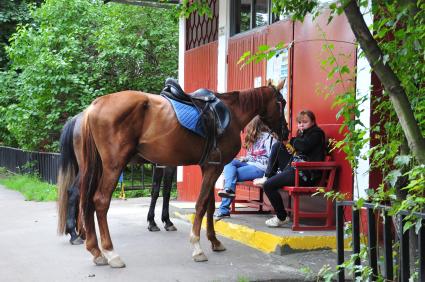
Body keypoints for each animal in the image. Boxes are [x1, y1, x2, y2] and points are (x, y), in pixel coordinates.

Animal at [58, 81, 286, 266]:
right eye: (281, 102)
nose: (285, 131)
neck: (230, 112)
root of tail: (92, 108)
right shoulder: (212, 167)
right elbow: (198, 204)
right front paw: (196, 246)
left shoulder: (208, 166)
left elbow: (208, 206)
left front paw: (214, 241)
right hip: (113, 166)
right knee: (99, 201)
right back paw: (109, 252)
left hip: (94, 167)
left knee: (85, 200)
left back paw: (94, 248)